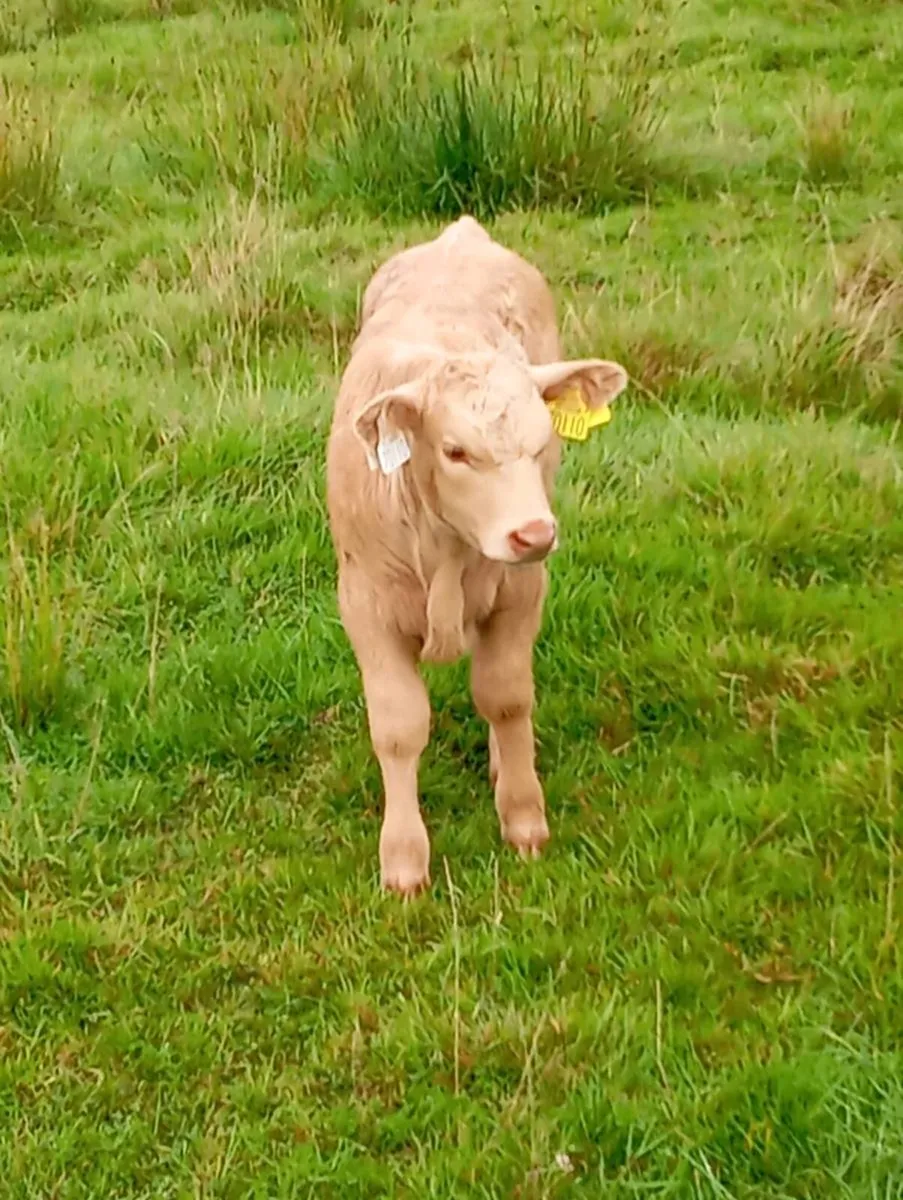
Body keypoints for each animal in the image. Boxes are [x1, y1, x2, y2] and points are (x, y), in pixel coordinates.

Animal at [326, 216, 628, 895]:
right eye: (457, 451)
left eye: (543, 442)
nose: (533, 533)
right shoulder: (366, 608)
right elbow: (399, 727)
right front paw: (404, 860)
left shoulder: (522, 591)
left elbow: (507, 697)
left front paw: (523, 818)